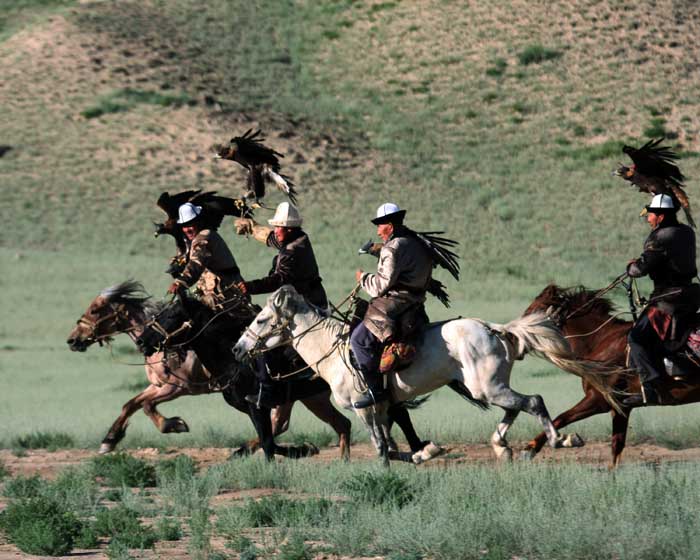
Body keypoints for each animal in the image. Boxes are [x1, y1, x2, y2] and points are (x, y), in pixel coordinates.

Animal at [65, 282, 350, 458]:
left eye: (95, 309)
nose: (72, 340)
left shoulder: (177, 388)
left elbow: (145, 406)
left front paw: (174, 425)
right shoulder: (158, 386)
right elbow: (131, 404)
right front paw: (109, 440)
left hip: (299, 398)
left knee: (281, 424)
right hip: (310, 398)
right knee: (334, 424)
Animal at [234, 286, 624, 462]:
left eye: (261, 319)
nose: (238, 349)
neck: (333, 351)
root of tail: (495, 329)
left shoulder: (365, 408)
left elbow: (383, 448)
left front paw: (421, 454)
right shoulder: (382, 407)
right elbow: (392, 446)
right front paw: (425, 452)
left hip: (489, 388)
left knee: (534, 401)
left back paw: (561, 441)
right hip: (489, 388)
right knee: (515, 408)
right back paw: (502, 447)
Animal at [524, 284, 700, 468]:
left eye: (533, 311)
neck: (601, 340)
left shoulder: (598, 400)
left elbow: (562, 417)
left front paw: (533, 447)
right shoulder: (621, 408)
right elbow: (617, 445)